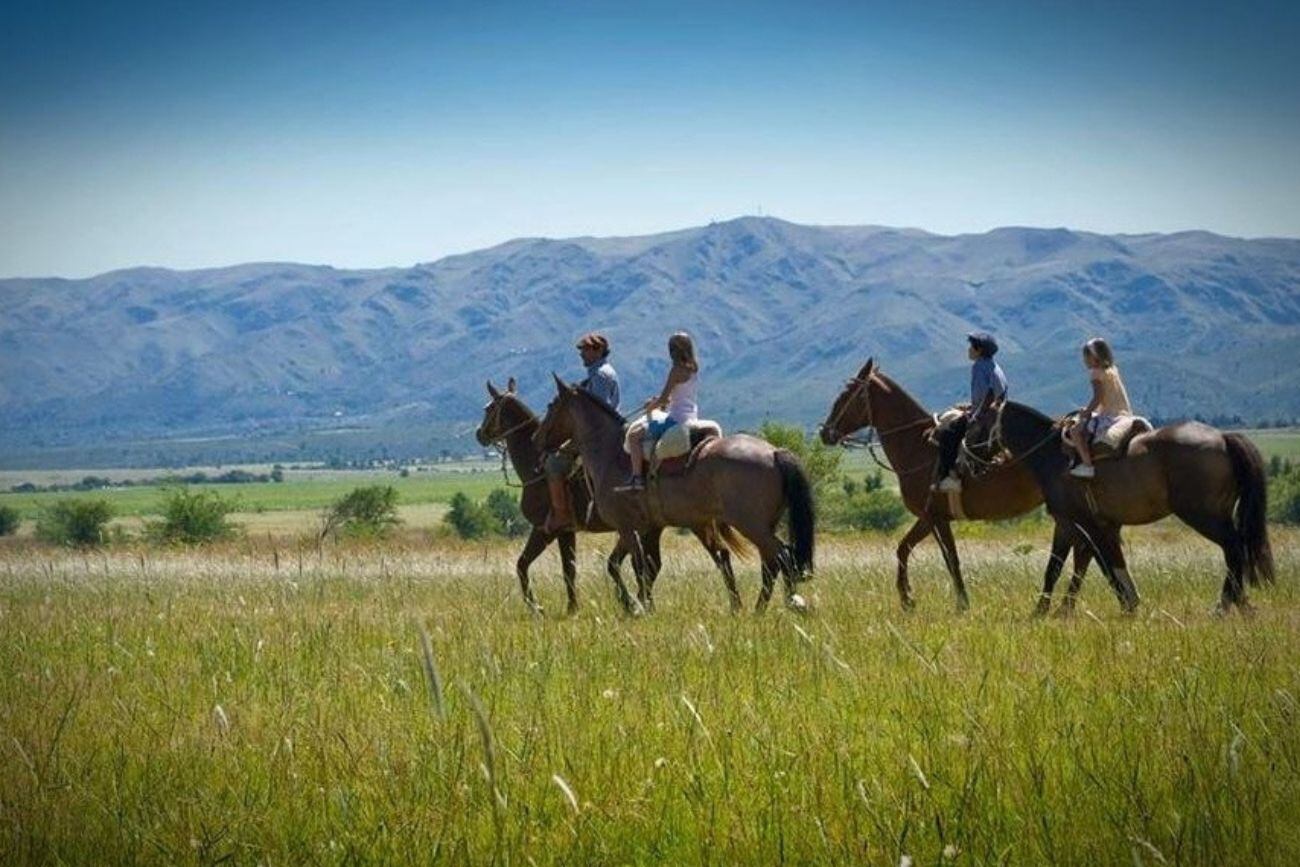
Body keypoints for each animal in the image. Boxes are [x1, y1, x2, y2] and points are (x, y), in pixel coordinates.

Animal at [475, 379, 743, 616]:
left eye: (488, 409)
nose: (480, 434)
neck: (536, 468)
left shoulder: (546, 529)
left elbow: (525, 565)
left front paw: (537, 607)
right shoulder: (569, 531)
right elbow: (569, 569)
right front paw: (573, 607)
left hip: (692, 523)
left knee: (701, 557)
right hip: (664, 527)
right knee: (675, 561)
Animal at [530, 376, 811, 613]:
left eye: (552, 405)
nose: (536, 438)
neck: (611, 455)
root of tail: (774, 452)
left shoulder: (627, 526)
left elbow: (637, 566)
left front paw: (638, 606)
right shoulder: (644, 528)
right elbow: (627, 565)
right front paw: (636, 604)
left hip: (751, 525)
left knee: (782, 557)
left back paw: (788, 604)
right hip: (759, 525)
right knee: (770, 562)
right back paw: (757, 608)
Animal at [821, 358, 1045, 610]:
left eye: (847, 394)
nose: (824, 432)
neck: (917, 446)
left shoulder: (936, 518)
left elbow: (951, 559)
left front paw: (961, 603)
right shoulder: (927, 517)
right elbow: (904, 548)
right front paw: (907, 598)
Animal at [993, 402, 1268, 613]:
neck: (1053, 456)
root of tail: (1223, 438)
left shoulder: (1077, 523)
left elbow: (1092, 566)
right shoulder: (1084, 526)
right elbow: (1077, 566)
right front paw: (1052, 611)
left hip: (1203, 515)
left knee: (1233, 547)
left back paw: (1224, 606)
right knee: (1237, 550)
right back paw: (1239, 604)